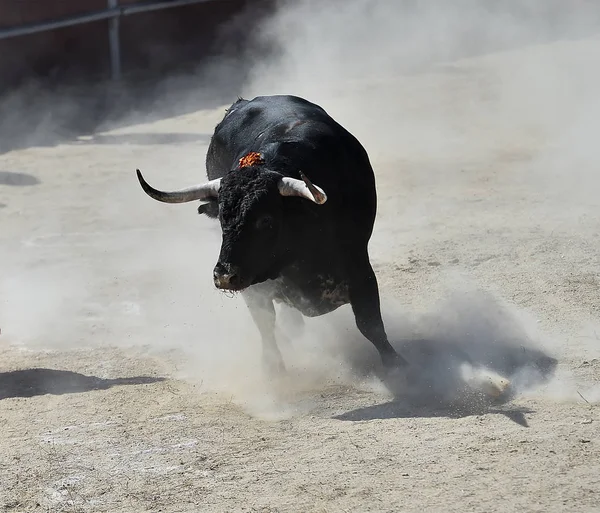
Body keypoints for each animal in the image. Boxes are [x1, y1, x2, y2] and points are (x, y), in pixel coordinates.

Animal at [137, 94, 408, 372]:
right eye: (223, 217)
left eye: (266, 220)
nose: (224, 276)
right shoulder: (254, 283)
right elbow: (265, 323)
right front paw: (273, 367)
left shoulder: (359, 265)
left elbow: (370, 323)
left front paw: (396, 363)